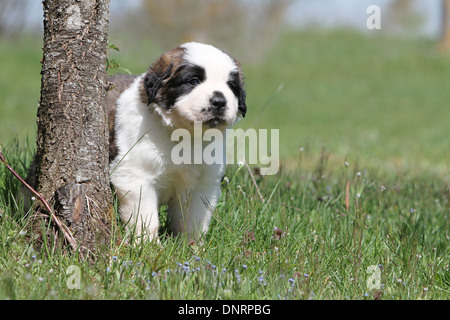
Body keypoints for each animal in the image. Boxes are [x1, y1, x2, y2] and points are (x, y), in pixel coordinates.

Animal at [106, 43, 246, 242]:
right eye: (193, 81)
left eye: (230, 86)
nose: (219, 101)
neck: (184, 135)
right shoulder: (135, 177)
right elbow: (145, 217)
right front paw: (148, 245)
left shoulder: (203, 185)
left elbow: (193, 218)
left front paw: (192, 245)